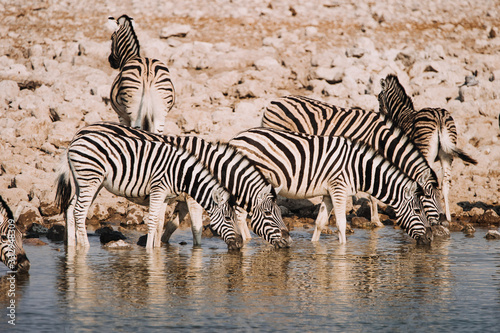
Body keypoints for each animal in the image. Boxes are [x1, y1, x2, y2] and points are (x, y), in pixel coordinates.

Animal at [54, 127, 242, 249]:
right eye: (227, 218)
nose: (240, 244)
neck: (182, 173)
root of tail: (74, 142)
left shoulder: (166, 196)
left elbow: (159, 224)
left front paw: (156, 250)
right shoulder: (159, 189)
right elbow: (154, 222)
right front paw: (150, 252)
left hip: (87, 182)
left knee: (71, 208)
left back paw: (73, 246)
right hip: (90, 179)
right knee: (79, 211)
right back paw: (84, 247)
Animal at [76, 122, 292, 246]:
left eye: (280, 213)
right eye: (268, 214)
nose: (288, 241)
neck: (210, 165)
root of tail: (85, 128)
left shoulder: (183, 199)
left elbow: (169, 227)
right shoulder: (193, 198)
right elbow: (196, 230)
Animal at [230, 127, 434, 244]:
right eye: (418, 211)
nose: (429, 238)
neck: (359, 169)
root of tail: (237, 137)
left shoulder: (329, 193)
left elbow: (320, 223)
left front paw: (315, 246)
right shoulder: (339, 189)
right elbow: (342, 224)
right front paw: (342, 252)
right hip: (249, 180)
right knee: (240, 215)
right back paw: (248, 241)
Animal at [260, 94, 444, 227]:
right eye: (428, 195)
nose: (441, 220)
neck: (383, 140)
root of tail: (275, 101)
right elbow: (372, 195)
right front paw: (376, 221)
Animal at [376, 74, 478, 222]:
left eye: (378, 98)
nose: (380, 116)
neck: (401, 113)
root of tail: (439, 117)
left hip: (426, 153)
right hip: (447, 154)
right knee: (445, 184)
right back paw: (447, 218)